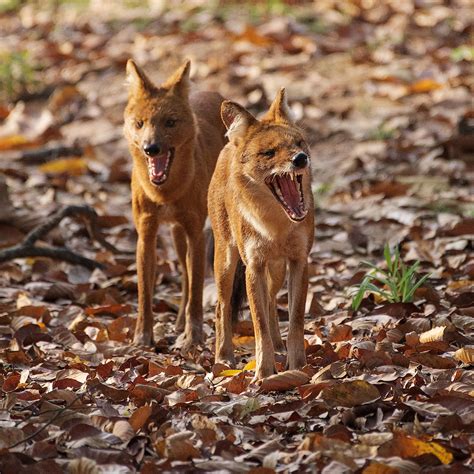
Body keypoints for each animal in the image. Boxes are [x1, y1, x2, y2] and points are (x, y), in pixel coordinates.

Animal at [122, 58, 226, 348]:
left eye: (170, 122)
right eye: (140, 123)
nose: (151, 148)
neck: (165, 192)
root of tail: (212, 93)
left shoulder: (196, 233)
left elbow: (198, 291)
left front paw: (194, 337)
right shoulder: (146, 233)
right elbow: (145, 293)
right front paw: (142, 337)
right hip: (176, 235)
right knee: (185, 278)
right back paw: (178, 322)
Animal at [208, 88, 314, 378]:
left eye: (299, 144)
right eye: (269, 153)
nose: (301, 159)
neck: (276, 226)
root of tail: (228, 145)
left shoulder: (299, 261)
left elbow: (295, 320)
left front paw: (297, 366)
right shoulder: (253, 266)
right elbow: (259, 325)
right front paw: (264, 372)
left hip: (276, 269)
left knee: (270, 300)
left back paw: (279, 346)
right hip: (226, 261)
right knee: (222, 307)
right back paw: (223, 357)